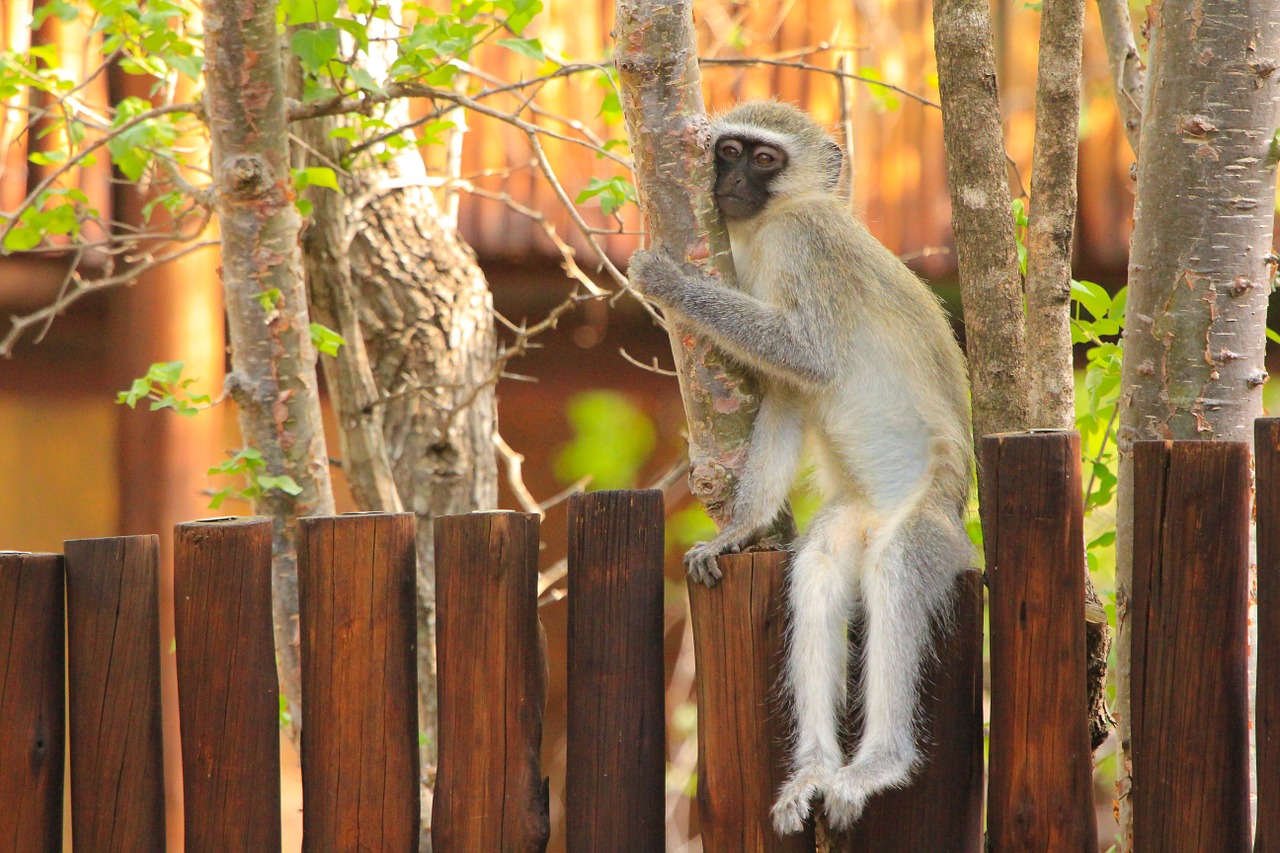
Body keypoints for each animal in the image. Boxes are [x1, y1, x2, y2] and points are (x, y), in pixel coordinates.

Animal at [627, 101, 967, 829]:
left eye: (764, 159)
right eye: (727, 151)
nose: (729, 182)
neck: (772, 224)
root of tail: (878, 516)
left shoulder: (810, 247)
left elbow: (806, 355)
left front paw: (669, 281)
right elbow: (786, 392)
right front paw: (742, 530)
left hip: (931, 523)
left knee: (896, 572)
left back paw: (877, 764)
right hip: (846, 523)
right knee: (816, 574)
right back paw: (812, 769)